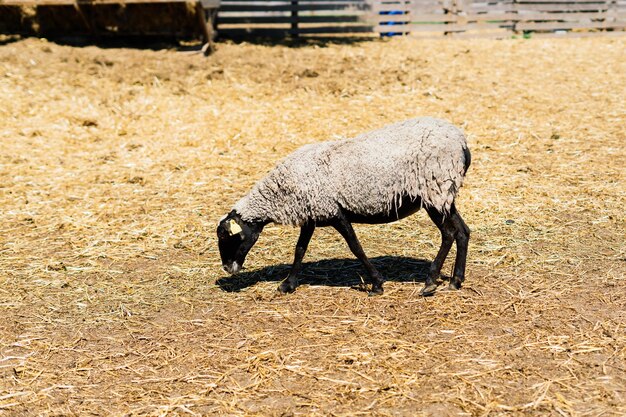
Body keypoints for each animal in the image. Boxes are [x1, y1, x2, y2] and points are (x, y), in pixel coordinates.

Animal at [216, 115, 468, 294]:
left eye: (229, 237)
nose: (227, 268)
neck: (281, 192)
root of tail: (462, 142)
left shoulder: (334, 212)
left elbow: (355, 247)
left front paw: (377, 284)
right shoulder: (312, 214)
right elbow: (300, 250)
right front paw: (287, 285)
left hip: (435, 190)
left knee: (448, 233)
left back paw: (430, 282)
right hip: (444, 195)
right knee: (462, 231)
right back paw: (455, 281)